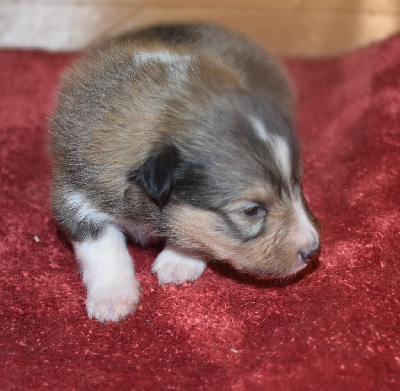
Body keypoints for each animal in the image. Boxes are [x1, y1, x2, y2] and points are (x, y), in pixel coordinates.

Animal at [50, 22, 320, 322]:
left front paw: (178, 262)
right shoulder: (75, 196)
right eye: (252, 210)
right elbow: (102, 244)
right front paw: (113, 297)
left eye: (299, 184)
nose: (313, 251)